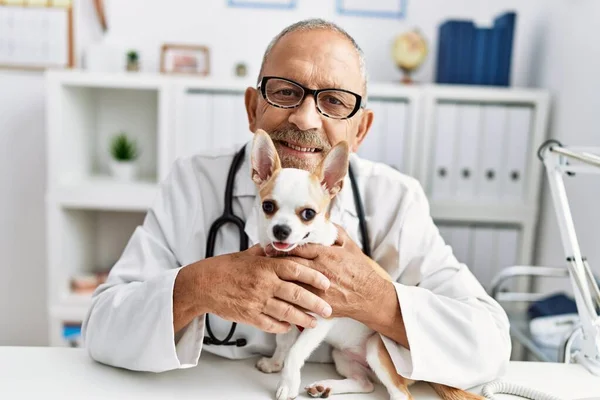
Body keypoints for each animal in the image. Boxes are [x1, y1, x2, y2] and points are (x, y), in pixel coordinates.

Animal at [248, 130, 482, 400]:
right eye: (267, 206)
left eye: (308, 214)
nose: (281, 230)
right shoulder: (288, 310)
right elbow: (284, 343)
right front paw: (274, 364)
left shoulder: (321, 320)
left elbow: (295, 352)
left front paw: (287, 384)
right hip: (342, 356)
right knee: (365, 383)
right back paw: (326, 386)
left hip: (376, 348)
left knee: (400, 393)